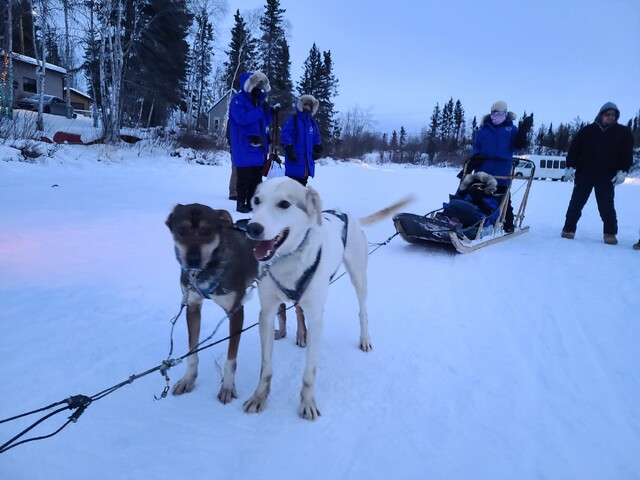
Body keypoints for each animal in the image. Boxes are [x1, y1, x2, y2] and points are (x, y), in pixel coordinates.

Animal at [166, 204, 258, 404]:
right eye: (181, 230)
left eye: (207, 231)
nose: (193, 259)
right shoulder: (192, 307)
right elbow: (192, 352)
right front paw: (188, 379)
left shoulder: (235, 311)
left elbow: (231, 359)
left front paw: (227, 387)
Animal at [240, 177, 410, 420]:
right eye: (256, 201)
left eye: (284, 204)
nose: (252, 228)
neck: (289, 260)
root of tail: (346, 214)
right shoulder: (267, 313)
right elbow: (266, 367)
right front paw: (259, 397)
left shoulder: (316, 317)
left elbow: (310, 371)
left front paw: (308, 403)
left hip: (359, 277)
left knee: (362, 310)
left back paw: (364, 338)